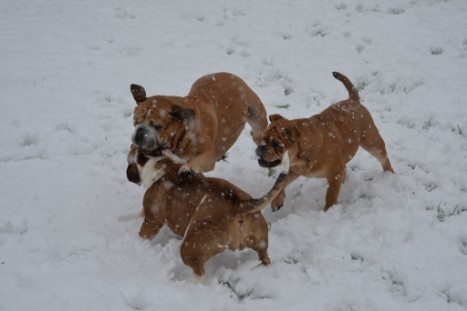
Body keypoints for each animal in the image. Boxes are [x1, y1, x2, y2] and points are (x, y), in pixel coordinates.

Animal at [126, 146, 290, 278]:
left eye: (129, 161)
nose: (127, 174)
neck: (162, 162)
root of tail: (239, 206)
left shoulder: (152, 220)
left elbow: (143, 233)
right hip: (261, 240)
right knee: (265, 258)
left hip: (190, 246)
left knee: (199, 273)